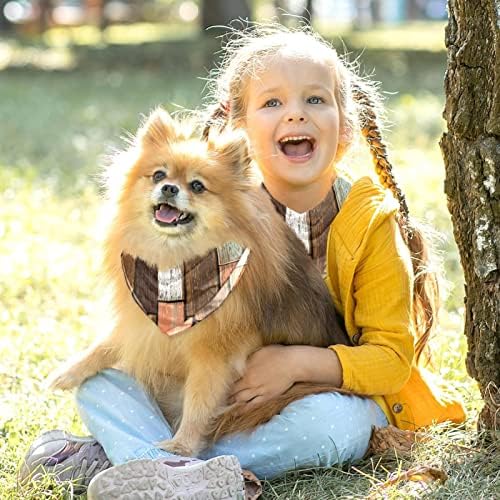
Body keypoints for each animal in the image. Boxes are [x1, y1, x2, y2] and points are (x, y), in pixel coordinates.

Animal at [48, 109, 350, 458]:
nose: (168, 188)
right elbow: (108, 343)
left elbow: (199, 401)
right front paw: (69, 371)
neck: (176, 265)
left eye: (197, 186)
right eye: (158, 175)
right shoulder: (141, 323)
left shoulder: (215, 352)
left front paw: (182, 445)